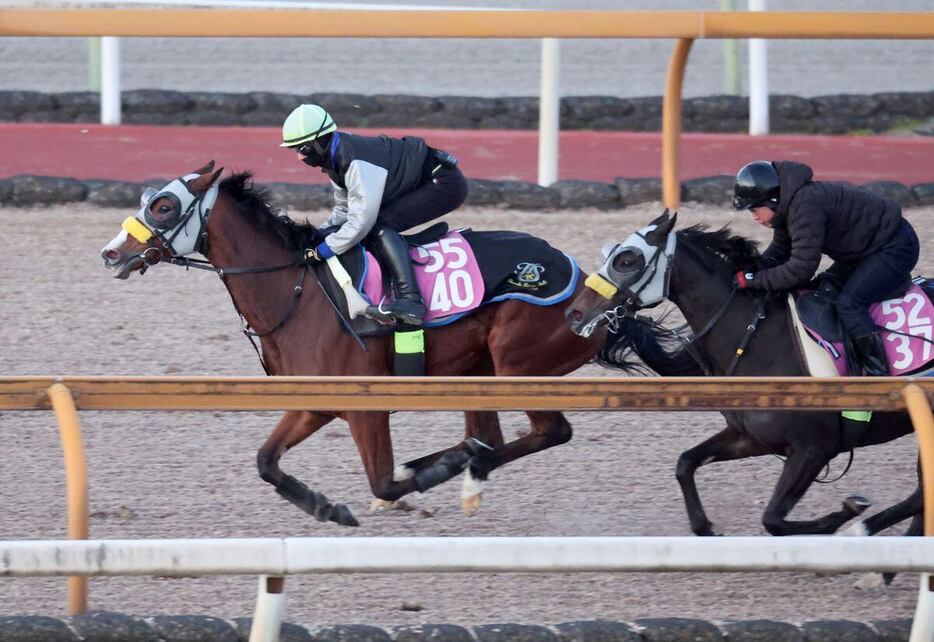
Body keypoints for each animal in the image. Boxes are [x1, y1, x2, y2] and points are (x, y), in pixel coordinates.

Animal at [100, 162, 620, 528]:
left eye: (164, 206)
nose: (111, 253)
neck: (295, 290)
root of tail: (592, 292)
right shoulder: (313, 402)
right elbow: (266, 461)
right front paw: (324, 506)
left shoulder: (364, 405)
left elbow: (384, 483)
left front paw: (412, 479)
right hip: (478, 372)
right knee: (490, 436)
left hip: (519, 364)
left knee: (549, 431)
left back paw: (464, 474)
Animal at [564, 211, 920, 540]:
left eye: (626, 260)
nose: (574, 313)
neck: (761, 340)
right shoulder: (750, 436)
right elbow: (685, 463)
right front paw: (705, 527)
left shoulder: (814, 449)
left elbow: (773, 519)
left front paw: (845, 513)